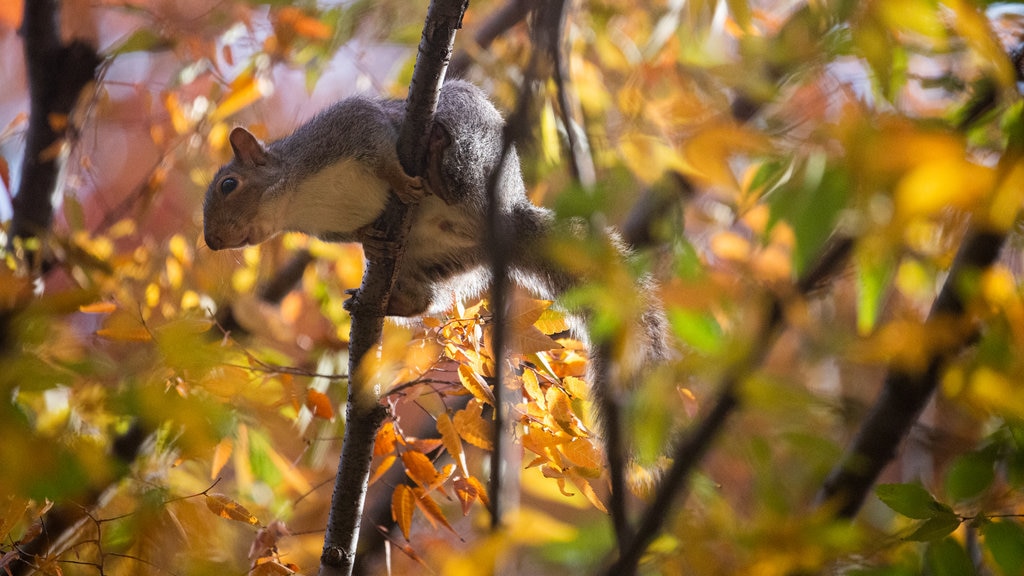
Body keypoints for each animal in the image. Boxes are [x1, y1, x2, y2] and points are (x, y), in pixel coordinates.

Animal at [202, 78, 667, 364]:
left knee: (458, 175)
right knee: (423, 297)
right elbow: (356, 231)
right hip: (436, 259)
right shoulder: (329, 229)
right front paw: (369, 241)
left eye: (228, 184)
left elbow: (381, 150)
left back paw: (437, 167)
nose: (212, 241)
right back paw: (385, 301)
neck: (298, 200)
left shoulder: (348, 127)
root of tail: (505, 217)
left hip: (472, 146)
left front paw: (399, 179)